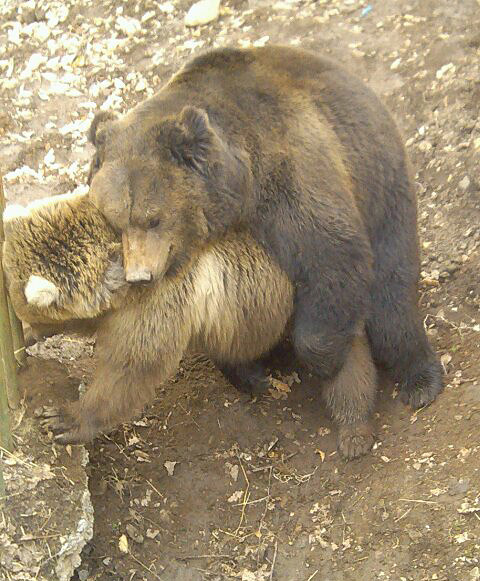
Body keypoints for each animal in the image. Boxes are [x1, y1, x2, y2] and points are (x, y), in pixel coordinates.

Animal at [3, 190, 378, 458]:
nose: (24, 321)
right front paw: (33, 336)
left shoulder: (159, 300)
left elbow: (131, 368)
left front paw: (67, 418)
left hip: (317, 298)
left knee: (343, 359)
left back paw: (353, 430)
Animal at [86, 47, 442, 414]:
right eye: (115, 221)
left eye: (152, 218)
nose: (139, 276)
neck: (239, 190)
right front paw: (251, 372)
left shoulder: (289, 171)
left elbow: (333, 255)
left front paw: (326, 360)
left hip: (379, 182)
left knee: (391, 295)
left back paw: (420, 380)